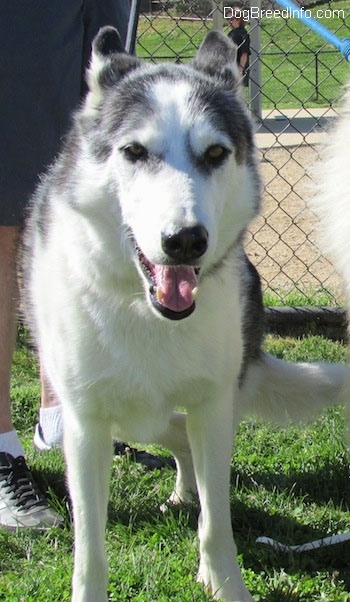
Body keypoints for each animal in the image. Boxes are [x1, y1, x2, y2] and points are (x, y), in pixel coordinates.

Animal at [23, 28, 348, 600]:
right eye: (134, 151)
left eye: (215, 153)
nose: (185, 241)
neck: (147, 311)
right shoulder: (85, 426)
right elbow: (90, 549)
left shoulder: (213, 407)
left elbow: (217, 524)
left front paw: (225, 585)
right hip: (128, 417)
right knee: (169, 435)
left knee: (182, 442)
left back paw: (187, 493)